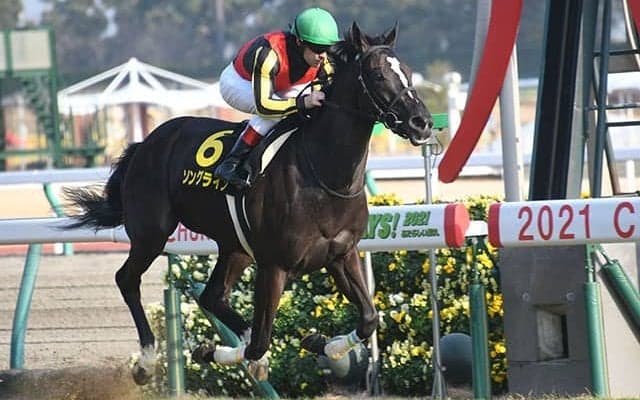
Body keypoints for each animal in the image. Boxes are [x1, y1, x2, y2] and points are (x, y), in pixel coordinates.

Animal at [65, 22, 433, 384]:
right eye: (377, 74)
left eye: (407, 71)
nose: (423, 123)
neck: (324, 176)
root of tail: (146, 142)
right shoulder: (274, 265)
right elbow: (261, 342)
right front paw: (215, 352)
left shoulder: (342, 254)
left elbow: (368, 317)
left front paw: (321, 344)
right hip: (151, 232)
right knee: (128, 279)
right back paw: (146, 361)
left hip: (234, 246)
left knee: (212, 295)